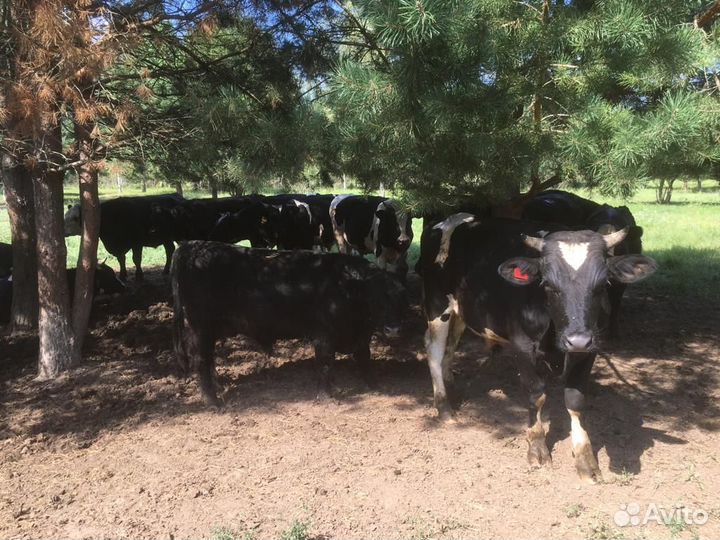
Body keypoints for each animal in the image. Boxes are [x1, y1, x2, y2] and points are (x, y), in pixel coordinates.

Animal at [171, 241, 407, 406]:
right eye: (374, 299)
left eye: (401, 298)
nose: (393, 329)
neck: (345, 286)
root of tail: (193, 246)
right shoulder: (323, 335)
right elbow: (325, 364)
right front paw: (327, 397)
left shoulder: (361, 336)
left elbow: (365, 359)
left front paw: (374, 385)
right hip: (200, 328)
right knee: (201, 360)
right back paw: (212, 400)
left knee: (208, 358)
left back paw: (217, 387)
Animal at [417, 215, 657, 482]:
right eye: (548, 283)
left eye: (603, 284)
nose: (577, 339)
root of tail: (454, 219)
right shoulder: (522, 346)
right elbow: (536, 395)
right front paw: (537, 447)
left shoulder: (590, 348)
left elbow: (575, 399)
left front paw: (585, 460)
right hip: (437, 303)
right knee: (434, 350)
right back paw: (444, 407)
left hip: (463, 310)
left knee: (450, 347)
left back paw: (451, 385)